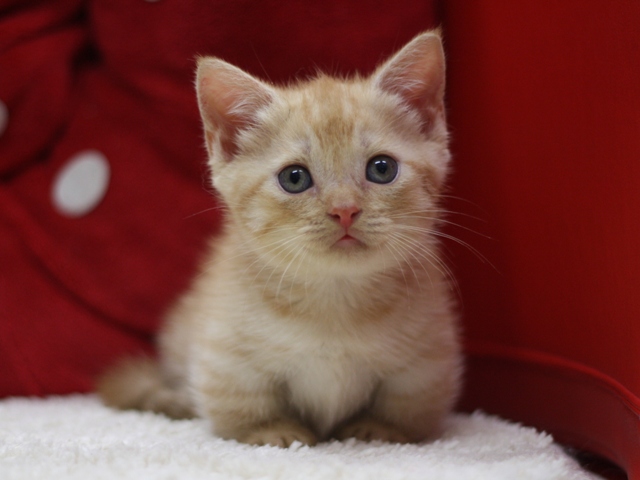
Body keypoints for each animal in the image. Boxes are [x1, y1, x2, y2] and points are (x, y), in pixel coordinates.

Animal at [97, 30, 460, 448]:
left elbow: (405, 407)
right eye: (294, 178)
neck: (336, 297)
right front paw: (271, 430)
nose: (345, 209)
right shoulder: (226, 355)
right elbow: (244, 404)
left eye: (382, 169)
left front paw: (380, 430)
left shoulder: (426, 361)